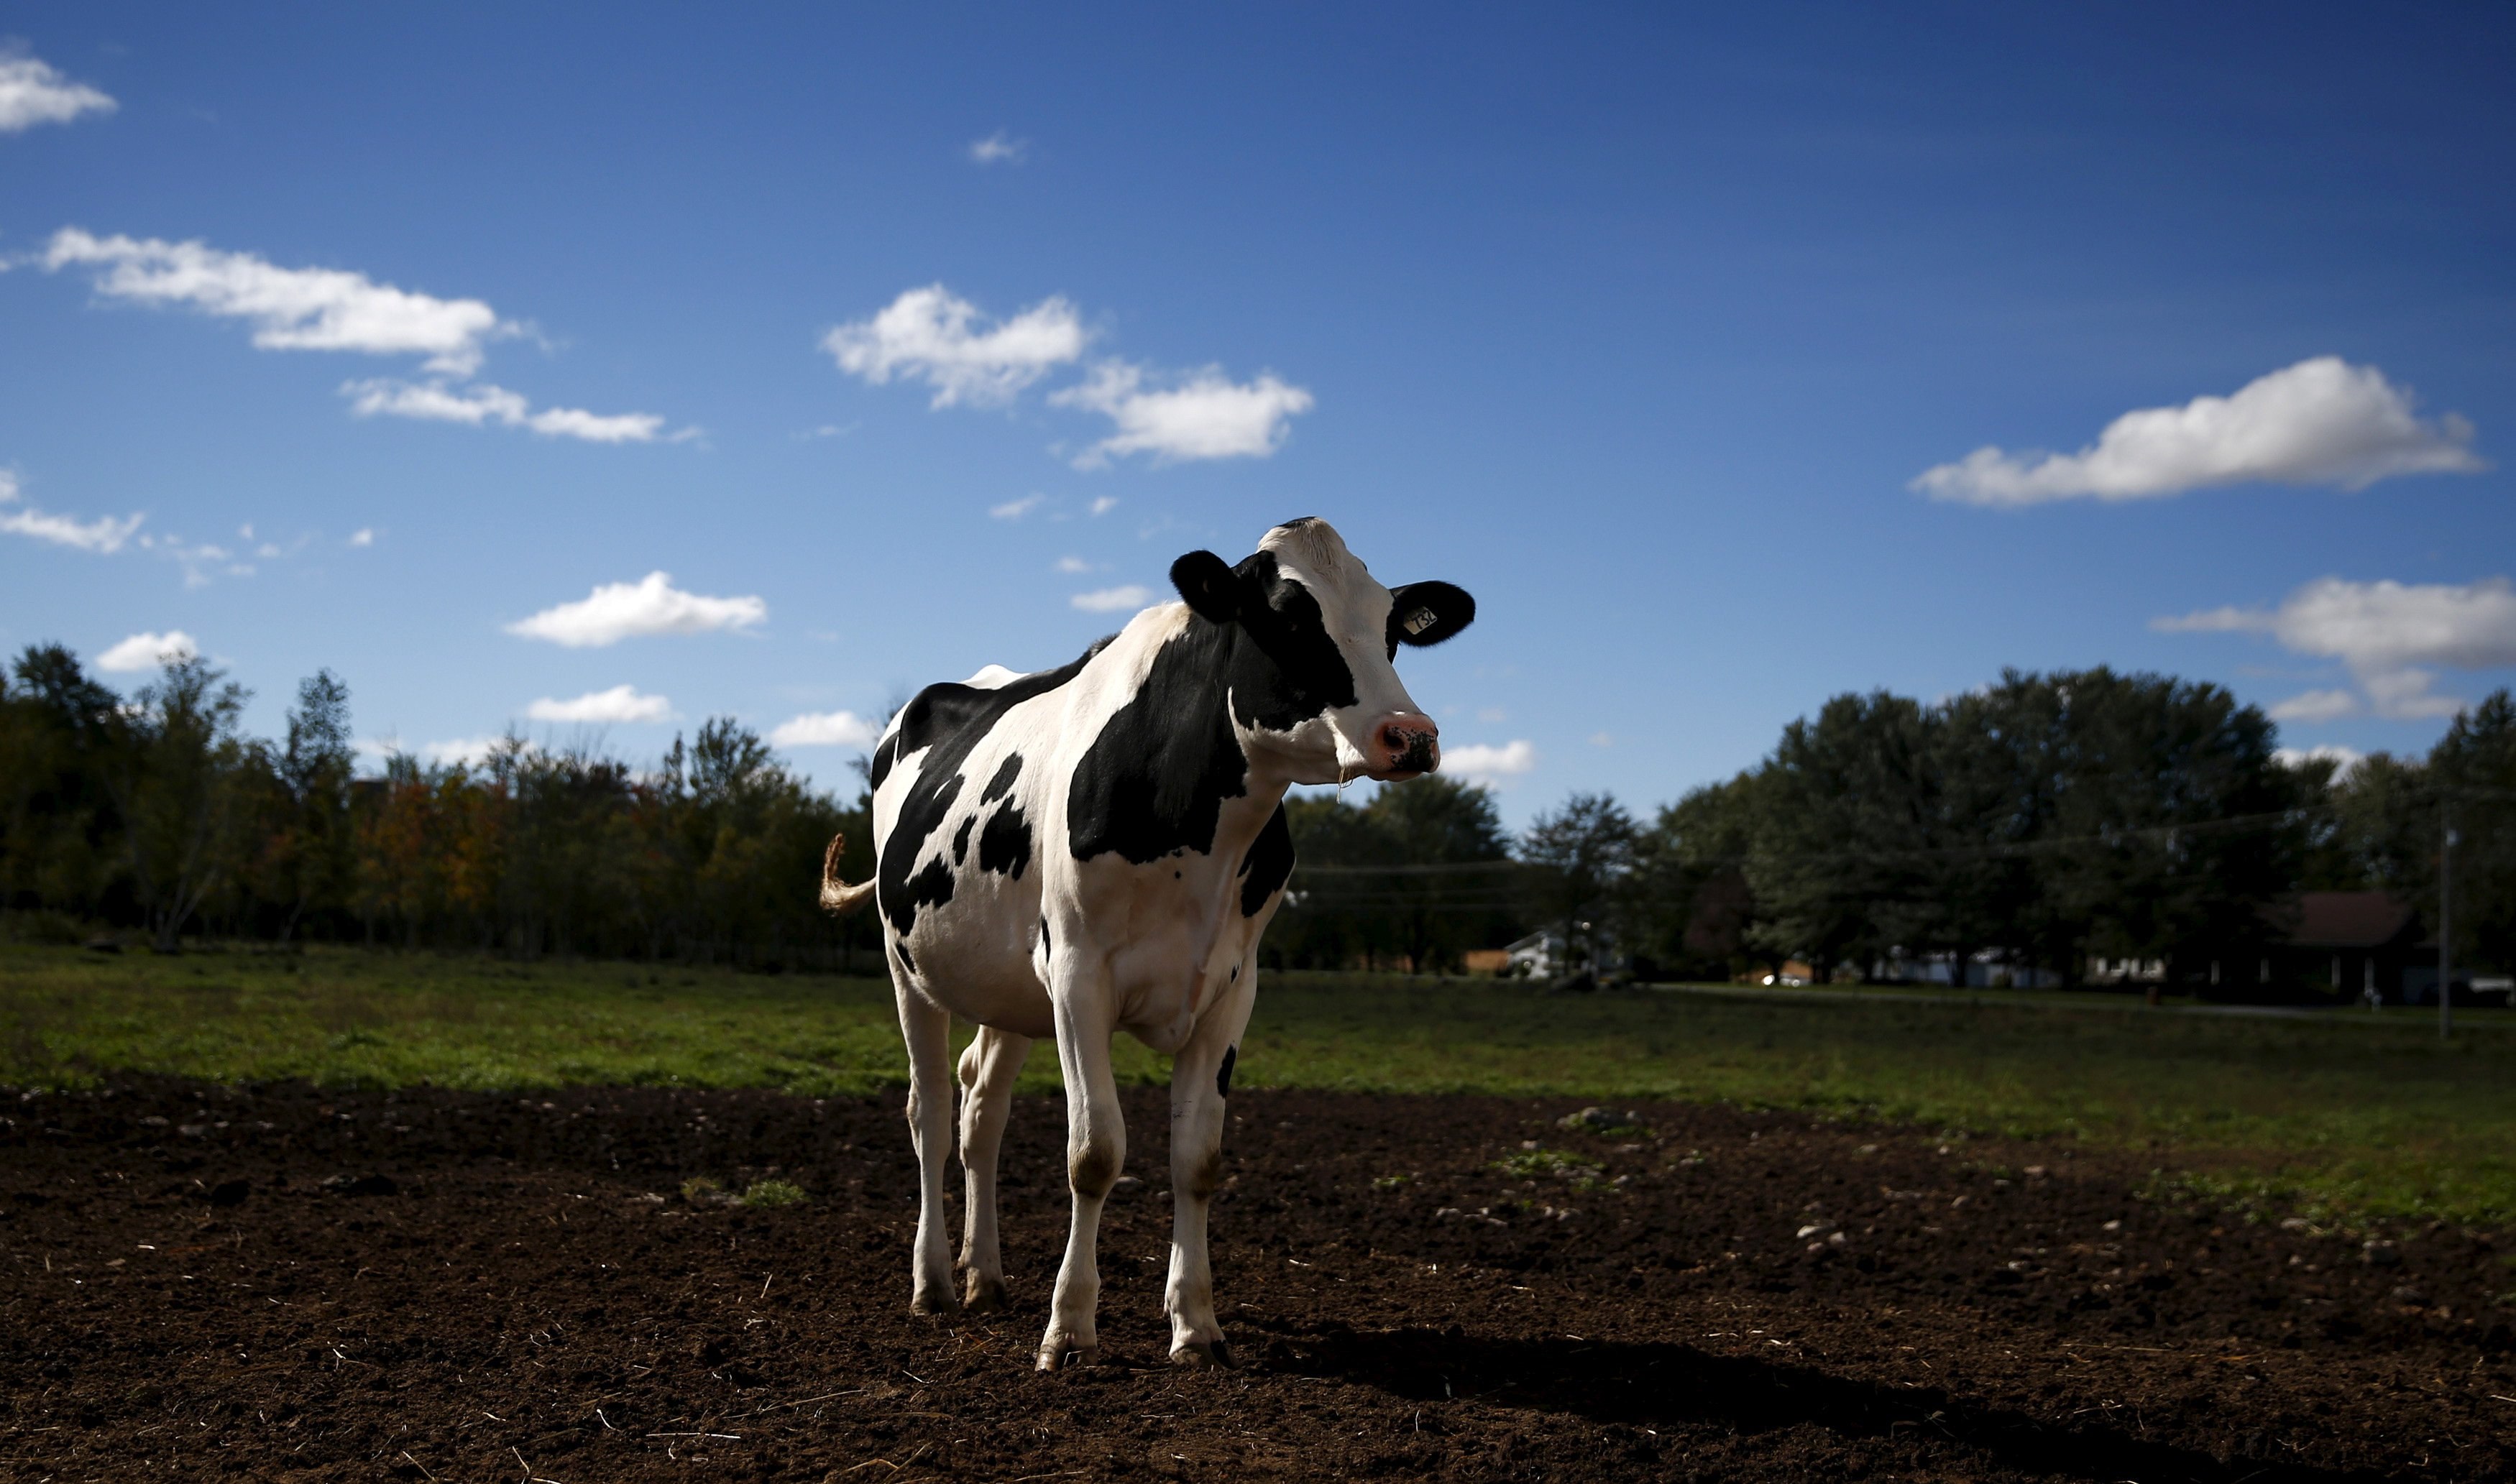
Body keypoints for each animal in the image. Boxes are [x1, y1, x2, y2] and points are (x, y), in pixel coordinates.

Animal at [815, 520, 1469, 1368]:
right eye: (1288, 617)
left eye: (1391, 629)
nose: (1411, 736)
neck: (1198, 829)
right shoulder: (1078, 975)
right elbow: (1094, 1152)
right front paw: (1069, 1329)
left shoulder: (1231, 989)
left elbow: (1197, 1159)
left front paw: (1195, 1323)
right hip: (909, 970)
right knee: (927, 1110)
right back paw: (932, 1282)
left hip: (1008, 989)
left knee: (980, 1111)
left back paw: (984, 1275)